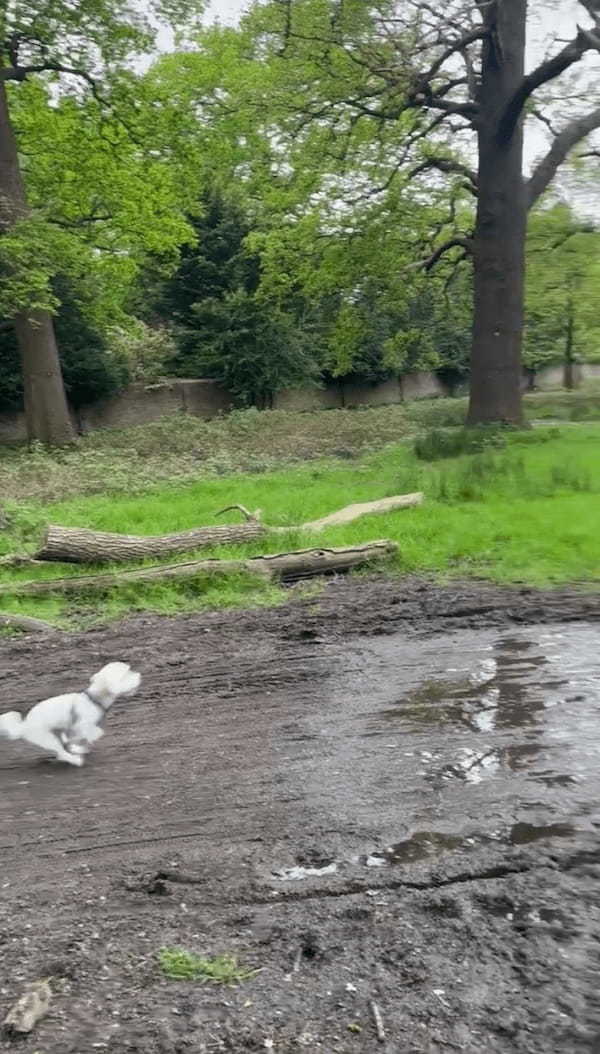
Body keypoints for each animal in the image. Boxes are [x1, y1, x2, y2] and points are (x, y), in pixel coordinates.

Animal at [0, 657, 140, 767]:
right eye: (127, 674)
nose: (139, 675)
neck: (93, 698)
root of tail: (24, 725)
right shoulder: (82, 725)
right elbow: (90, 733)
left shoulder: (73, 728)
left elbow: (75, 738)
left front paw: (77, 746)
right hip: (47, 737)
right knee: (61, 752)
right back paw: (75, 760)